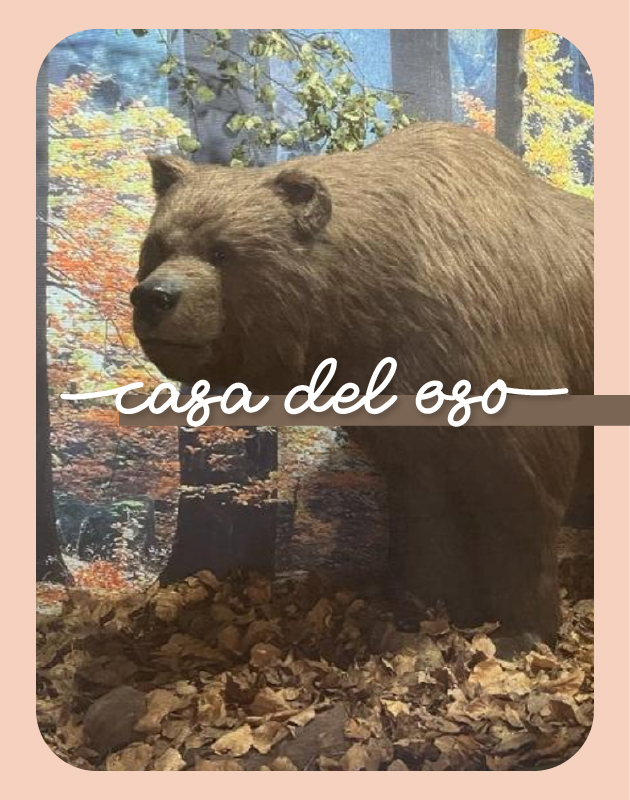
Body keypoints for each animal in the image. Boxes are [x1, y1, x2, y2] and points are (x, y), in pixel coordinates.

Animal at [131, 122, 594, 647]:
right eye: (158, 245)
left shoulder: (511, 378)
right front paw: (423, 609)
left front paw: (521, 632)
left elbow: (523, 503)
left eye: (222, 250)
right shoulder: (410, 421)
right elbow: (426, 514)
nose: (153, 297)